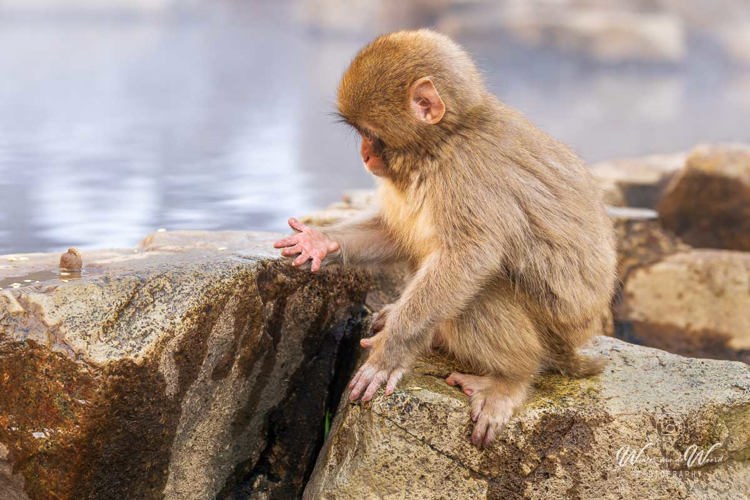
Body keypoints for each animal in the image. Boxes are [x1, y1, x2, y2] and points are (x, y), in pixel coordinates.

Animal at [274, 30, 616, 447]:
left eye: (370, 135)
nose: (364, 155)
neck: (442, 142)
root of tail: (578, 342)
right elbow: (395, 232)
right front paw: (319, 241)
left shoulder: (465, 174)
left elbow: (469, 256)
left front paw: (390, 353)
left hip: (554, 334)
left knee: (479, 289)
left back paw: (511, 378)